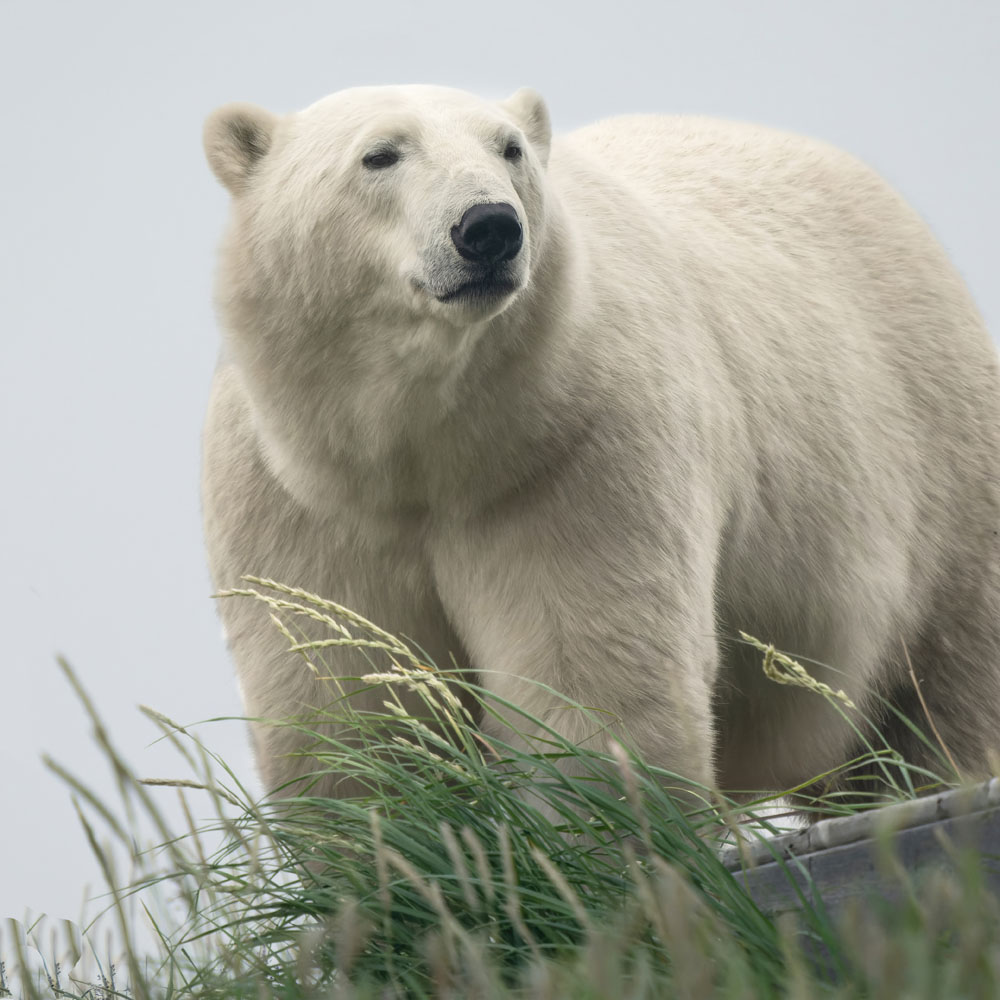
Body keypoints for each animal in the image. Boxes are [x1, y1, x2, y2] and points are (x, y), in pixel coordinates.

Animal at [202, 84, 1000, 814]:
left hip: (941, 470)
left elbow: (589, 681)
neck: (426, 455)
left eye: (509, 149)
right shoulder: (296, 502)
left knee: (937, 693)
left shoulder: (574, 455)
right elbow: (349, 704)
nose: (488, 227)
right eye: (380, 154)